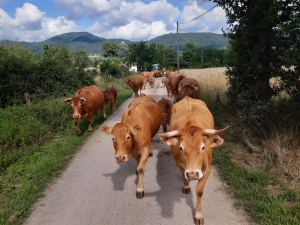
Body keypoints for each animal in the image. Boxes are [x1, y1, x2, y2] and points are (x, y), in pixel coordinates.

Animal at [159, 96, 227, 225]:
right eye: (181, 148)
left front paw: (198, 215)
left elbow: (199, 191)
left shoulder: (208, 169)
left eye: (203, 147)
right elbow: (184, 175)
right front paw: (186, 186)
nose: (192, 174)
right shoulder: (179, 164)